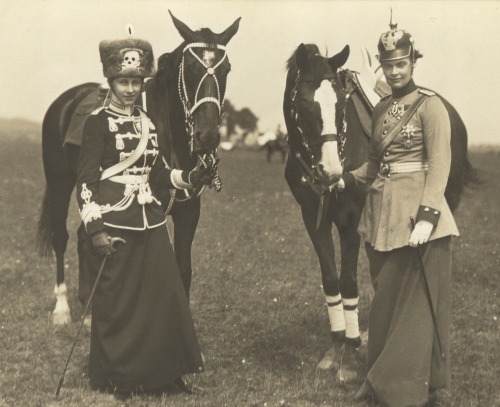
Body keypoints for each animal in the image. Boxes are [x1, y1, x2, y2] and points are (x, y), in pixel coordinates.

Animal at [37, 10, 240, 326]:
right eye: (191, 68)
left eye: (227, 69)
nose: (206, 137)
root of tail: (65, 100)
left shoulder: (188, 214)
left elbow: (183, 270)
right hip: (61, 182)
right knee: (62, 237)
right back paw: (63, 308)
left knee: (86, 236)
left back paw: (88, 306)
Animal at [284, 44, 470, 382]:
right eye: (303, 103)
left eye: (341, 102)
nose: (331, 171)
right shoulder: (312, 219)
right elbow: (331, 280)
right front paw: (335, 348)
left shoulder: (350, 220)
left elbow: (348, 282)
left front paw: (348, 356)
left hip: (444, 200)